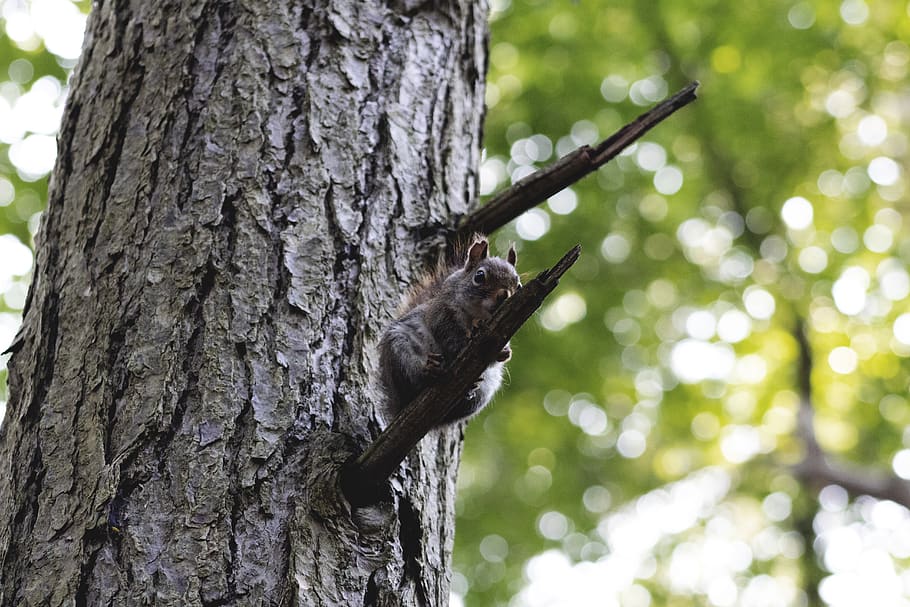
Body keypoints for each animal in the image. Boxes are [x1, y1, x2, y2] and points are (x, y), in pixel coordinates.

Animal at [379, 235, 520, 424]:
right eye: (479, 276)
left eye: (518, 286)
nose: (504, 295)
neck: (476, 315)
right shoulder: (441, 312)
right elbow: (448, 335)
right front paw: (464, 343)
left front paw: (504, 351)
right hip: (400, 351)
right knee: (413, 381)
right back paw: (428, 371)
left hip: (484, 390)